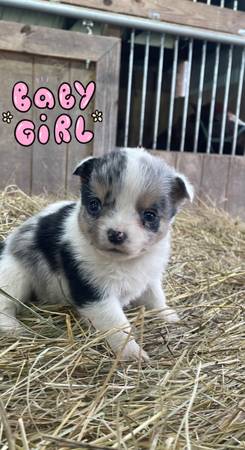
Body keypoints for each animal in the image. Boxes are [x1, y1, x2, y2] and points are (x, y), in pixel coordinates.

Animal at [0, 149, 193, 360]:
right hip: (13, 275)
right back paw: (14, 328)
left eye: (150, 215)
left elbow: (156, 298)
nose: (116, 234)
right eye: (94, 205)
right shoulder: (95, 293)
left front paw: (169, 316)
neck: (122, 262)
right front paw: (132, 353)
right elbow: (117, 325)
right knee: (4, 305)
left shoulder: (149, 278)